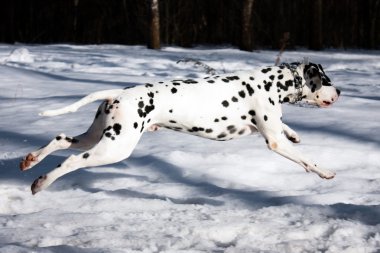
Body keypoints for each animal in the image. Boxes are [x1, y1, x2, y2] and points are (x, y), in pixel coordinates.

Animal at [20, 60, 342, 195]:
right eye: (326, 80)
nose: (339, 91)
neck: (270, 83)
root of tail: (116, 93)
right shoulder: (273, 141)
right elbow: (306, 159)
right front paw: (325, 172)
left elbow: (286, 127)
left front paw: (295, 133)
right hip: (114, 148)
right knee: (71, 161)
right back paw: (41, 182)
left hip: (96, 136)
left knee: (61, 139)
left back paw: (30, 160)